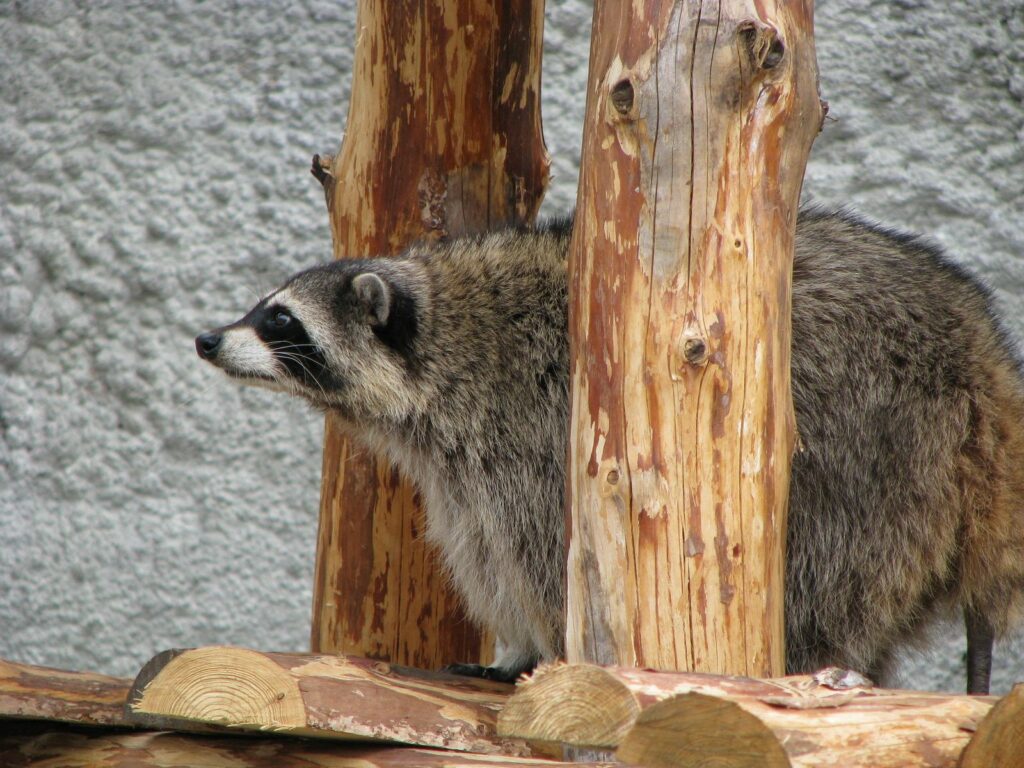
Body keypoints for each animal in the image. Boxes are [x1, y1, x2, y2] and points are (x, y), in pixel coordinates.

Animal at [196, 210, 1024, 693]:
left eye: (280, 320)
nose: (206, 339)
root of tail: (984, 363)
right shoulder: (466, 468)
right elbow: (482, 551)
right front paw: (513, 648)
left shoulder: (535, 430)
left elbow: (542, 556)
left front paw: (539, 652)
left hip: (878, 445)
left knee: (833, 570)